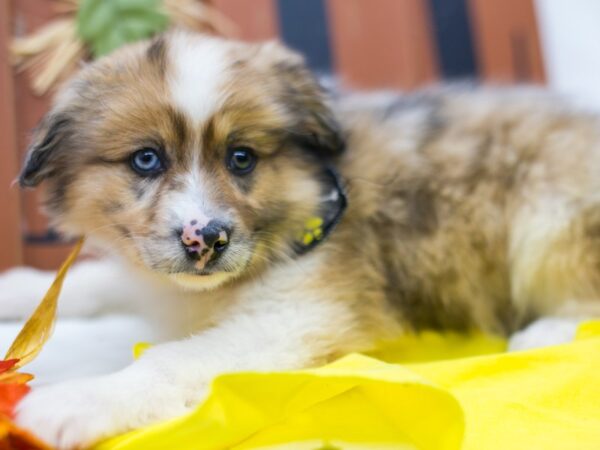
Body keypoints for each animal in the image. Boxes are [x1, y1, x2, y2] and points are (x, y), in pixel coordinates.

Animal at [1, 30, 600, 446]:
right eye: (146, 159)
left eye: (241, 157)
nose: (206, 239)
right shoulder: (156, 278)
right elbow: (97, 284)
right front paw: (18, 292)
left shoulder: (299, 314)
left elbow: (169, 359)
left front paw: (77, 401)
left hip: (547, 212)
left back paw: (543, 333)